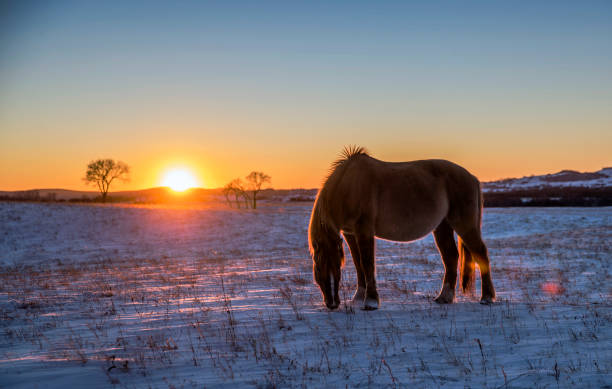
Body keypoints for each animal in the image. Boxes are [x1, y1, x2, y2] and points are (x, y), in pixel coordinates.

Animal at [308, 146, 494, 310]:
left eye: (332, 266)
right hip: (443, 226)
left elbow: (367, 263)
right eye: (318, 267)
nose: (332, 304)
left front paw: (371, 301)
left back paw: (486, 298)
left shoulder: (364, 230)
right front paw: (359, 297)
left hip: (464, 225)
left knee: (480, 253)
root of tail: (472, 177)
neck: (349, 186)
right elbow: (357, 262)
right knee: (451, 257)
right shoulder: (350, 233)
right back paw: (444, 297)